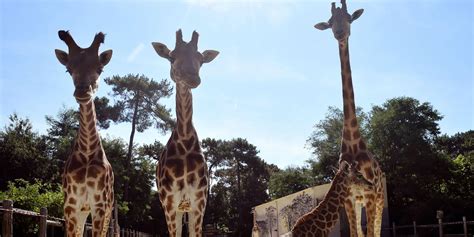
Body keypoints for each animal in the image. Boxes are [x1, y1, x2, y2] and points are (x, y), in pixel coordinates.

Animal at [54, 30, 115, 237]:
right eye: (68, 69)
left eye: (100, 69)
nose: (82, 92)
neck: (87, 151)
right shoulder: (71, 205)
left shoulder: (100, 205)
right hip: (82, 211)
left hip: (107, 210)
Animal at [152, 30, 218, 237]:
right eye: (171, 57)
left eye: (201, 60)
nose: (192, 78)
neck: (185, 138)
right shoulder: (170, 203)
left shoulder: (199, 202)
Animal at [314, 0, 386, 236]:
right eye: (330, 22)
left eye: (349, 18)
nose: (340, 33)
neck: (353, 143)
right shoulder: (348, 198)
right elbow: (356, 233)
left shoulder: (371, 195)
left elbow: (371, 233)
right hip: (360, 201)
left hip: (379, 200)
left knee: (377, 230)